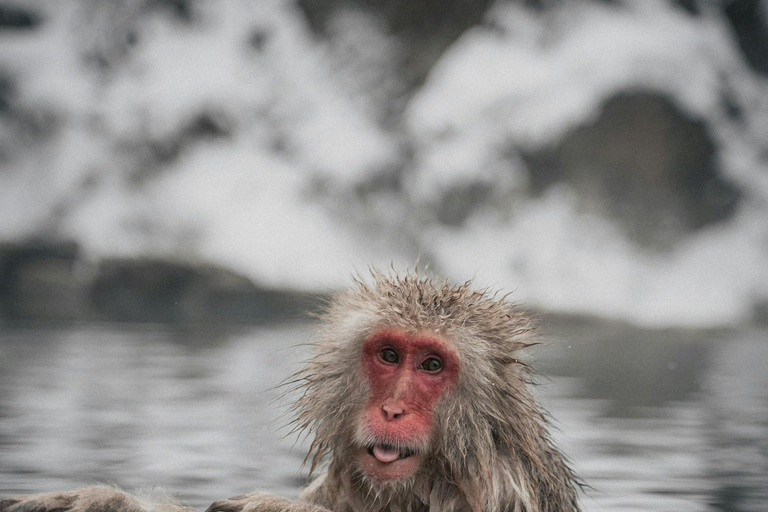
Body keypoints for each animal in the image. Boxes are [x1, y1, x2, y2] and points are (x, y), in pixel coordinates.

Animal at [1, 269, 581, 512]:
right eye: (390, 356)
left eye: (432, 365)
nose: (392, 409)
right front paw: (91, 498)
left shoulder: (502, 490)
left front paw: (269, 507)